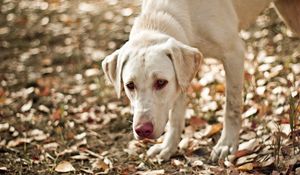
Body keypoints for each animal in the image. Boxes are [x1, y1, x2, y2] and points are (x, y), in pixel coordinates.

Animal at [101, 0, 300, 161]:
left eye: (160, 83)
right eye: (130, 85)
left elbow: (231, 106)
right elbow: (176, 116)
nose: (143, 130)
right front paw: (168, 147)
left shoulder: (234, 53)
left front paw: (227, 144)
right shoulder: (182, 76)